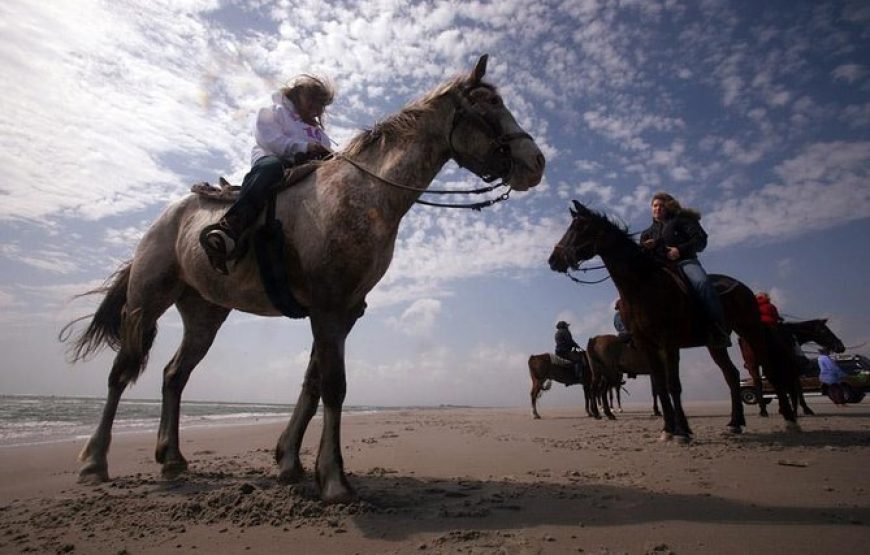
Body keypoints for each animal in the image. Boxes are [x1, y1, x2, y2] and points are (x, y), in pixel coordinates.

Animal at [61, 55, 544, 504]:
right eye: (489, 105)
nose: (536, 162)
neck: (362, 195)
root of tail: (165, 219)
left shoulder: (345, 313)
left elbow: (313, 384)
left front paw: (289, 462)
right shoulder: (327, 309)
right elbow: (333, 385)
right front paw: (333, 479)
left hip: (204, 314)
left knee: (173, 375)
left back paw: (172, 459)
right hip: (147, 301)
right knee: (121, 374)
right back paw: (94, 462)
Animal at [548, 201, 798, 440]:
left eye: (578, 227)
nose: (553, 259)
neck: (643, 285)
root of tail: (744, 288)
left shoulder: (668, 343)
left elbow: (672, 385)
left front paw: (681, 431)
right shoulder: (648, 346)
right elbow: (661, 386)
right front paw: (669, 428)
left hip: (750, 330)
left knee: (769, 370)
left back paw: (789, 420)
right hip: (715, 345)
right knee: (731, 375)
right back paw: (735, 423)